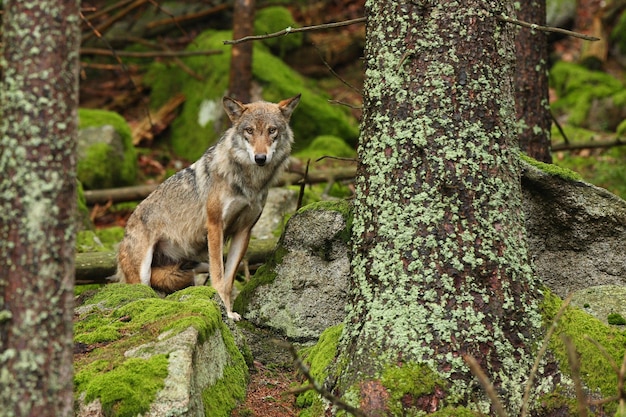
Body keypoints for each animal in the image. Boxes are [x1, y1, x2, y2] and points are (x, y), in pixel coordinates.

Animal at [114, 94, 300, 320]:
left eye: (272, 130)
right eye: (249, 130)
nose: (260, 158)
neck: (250, 183)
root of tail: (125, 230)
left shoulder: (244, 231)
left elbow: (228, 280)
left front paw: (229, 312)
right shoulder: (214, 225)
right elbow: (218, 275)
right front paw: (224, 312)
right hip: (143, 272)